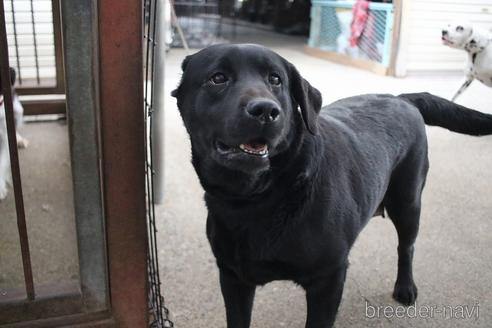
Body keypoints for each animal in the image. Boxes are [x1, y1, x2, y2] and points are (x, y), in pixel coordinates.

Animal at [172, 44, 492, 328]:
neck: (257, 198)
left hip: (408, 202)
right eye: (218, 78)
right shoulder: (232, 278)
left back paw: (405, 287)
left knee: (406, 247)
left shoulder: (328, 280)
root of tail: (402, 98)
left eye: (275, 79)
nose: (265, 110)